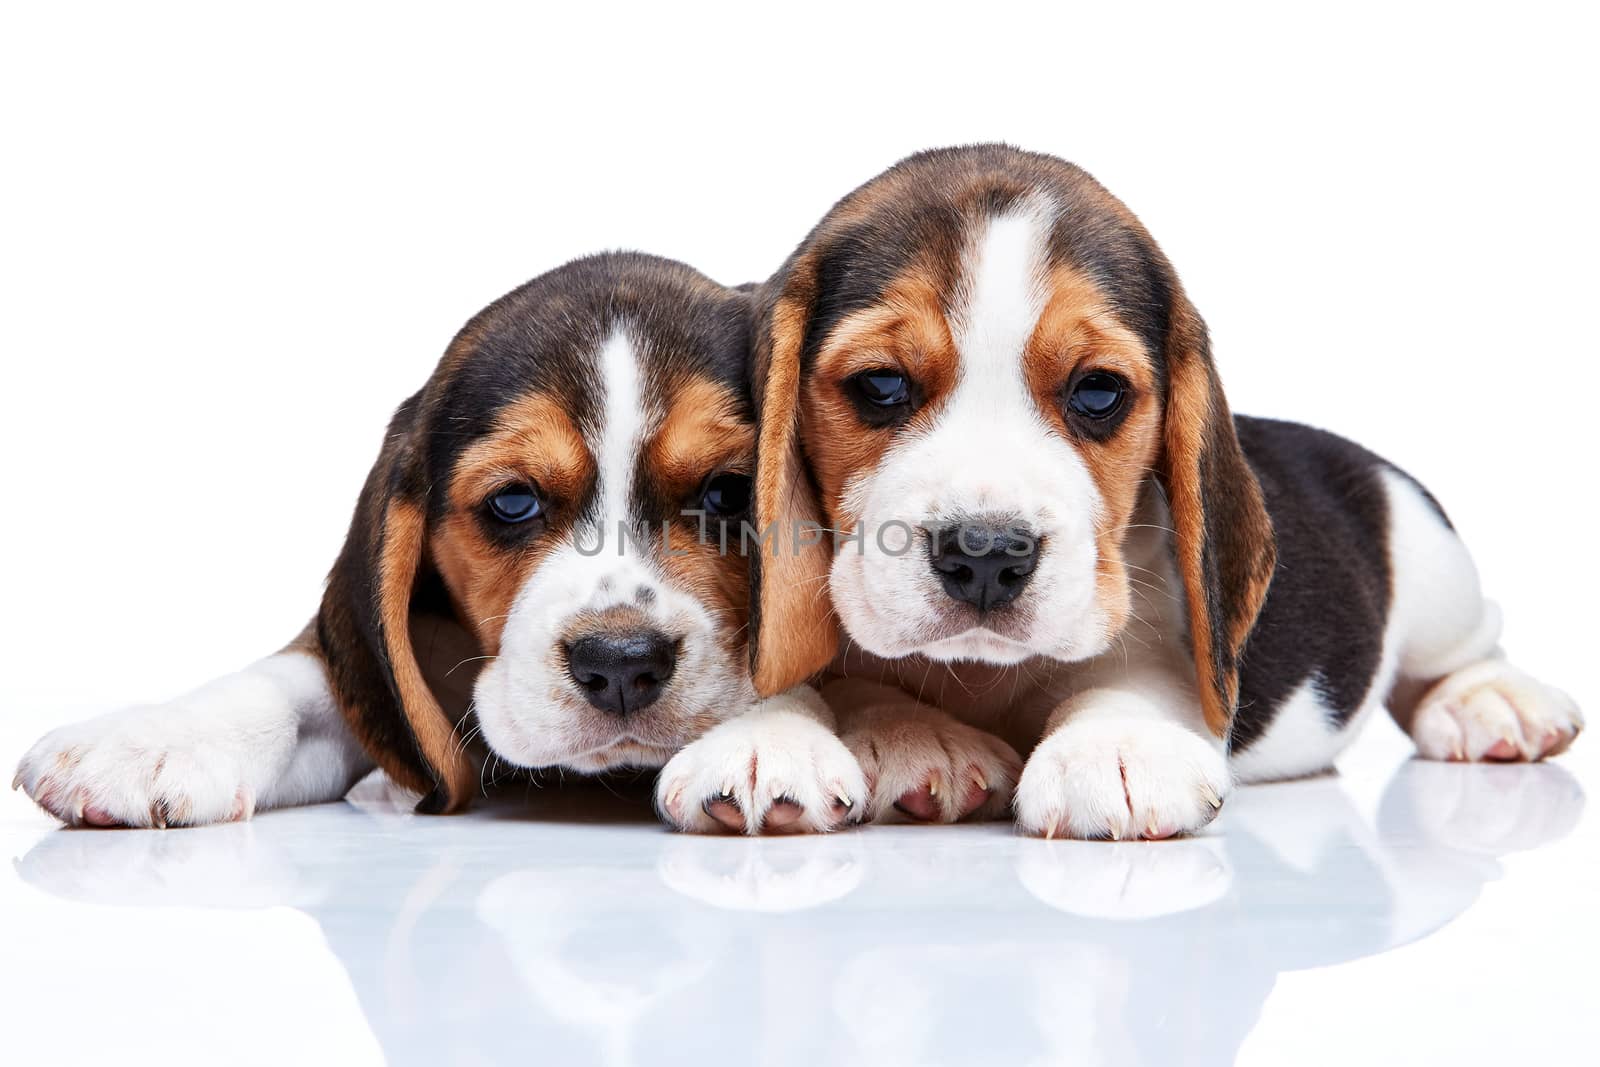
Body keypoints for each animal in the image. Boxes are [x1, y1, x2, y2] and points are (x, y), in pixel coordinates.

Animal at [15, 252, 864, 831]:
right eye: (512, 501)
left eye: (727, 493)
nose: (621, 664)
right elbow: (295, 684)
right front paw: (150, 739)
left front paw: (767, 738)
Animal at [739, 143, 1587, 844]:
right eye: (880, 384)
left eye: (1098, 392)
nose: (984, 556)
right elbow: (845, 678)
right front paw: (913, 733)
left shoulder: (1158, 636)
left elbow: (1133, 682)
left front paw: (1113, 746)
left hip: (1434, 562)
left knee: (1465, 648)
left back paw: (1492, 702)